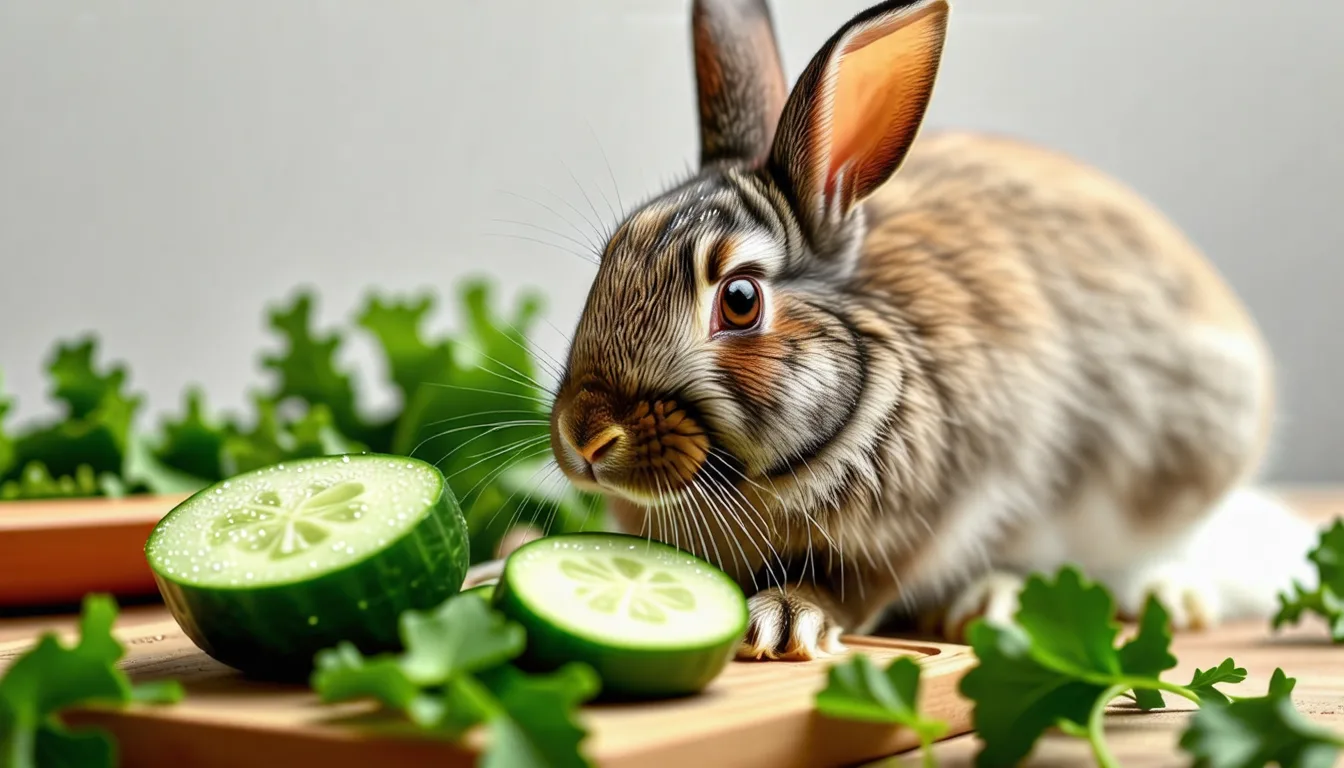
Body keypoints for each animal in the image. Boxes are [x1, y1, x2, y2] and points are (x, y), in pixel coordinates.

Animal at [466, 0, 1322, 661]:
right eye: (613, 255)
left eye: (739, 300)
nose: (584, 436)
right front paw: (496, 569)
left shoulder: (937, 510)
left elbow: (855, 583)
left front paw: (787, 621)